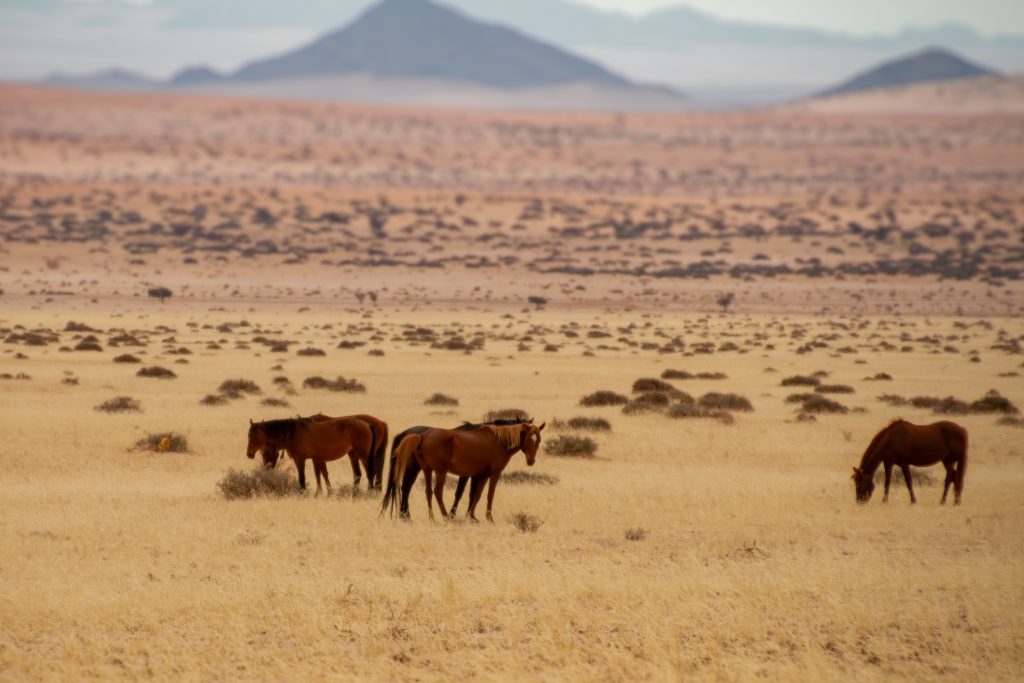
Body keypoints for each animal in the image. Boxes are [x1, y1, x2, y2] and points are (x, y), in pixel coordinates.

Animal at [255, 413, 389, 490]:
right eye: (261, 452)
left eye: (266, 452)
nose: (267, 468)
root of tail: (381, 423)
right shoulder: (318, 458)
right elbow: (321, 473)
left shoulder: (316, 458)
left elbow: (320, 473)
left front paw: (324, 491)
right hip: (354, 455)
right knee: (362, 474)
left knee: (371, 472)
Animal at [384, 421, 545, 522]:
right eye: (528, 439)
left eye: (538, 440)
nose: (531, 461)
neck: (500, 441)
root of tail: (422, 435)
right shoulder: (494, 473)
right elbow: (489, 495)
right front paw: (489, 518)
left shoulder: (482, 475)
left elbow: (477, 495)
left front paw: (472, 516)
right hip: (440, 472)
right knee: (437, 491)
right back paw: (445, 516)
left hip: (427, 470)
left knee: (428, 491)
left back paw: (432, 518)